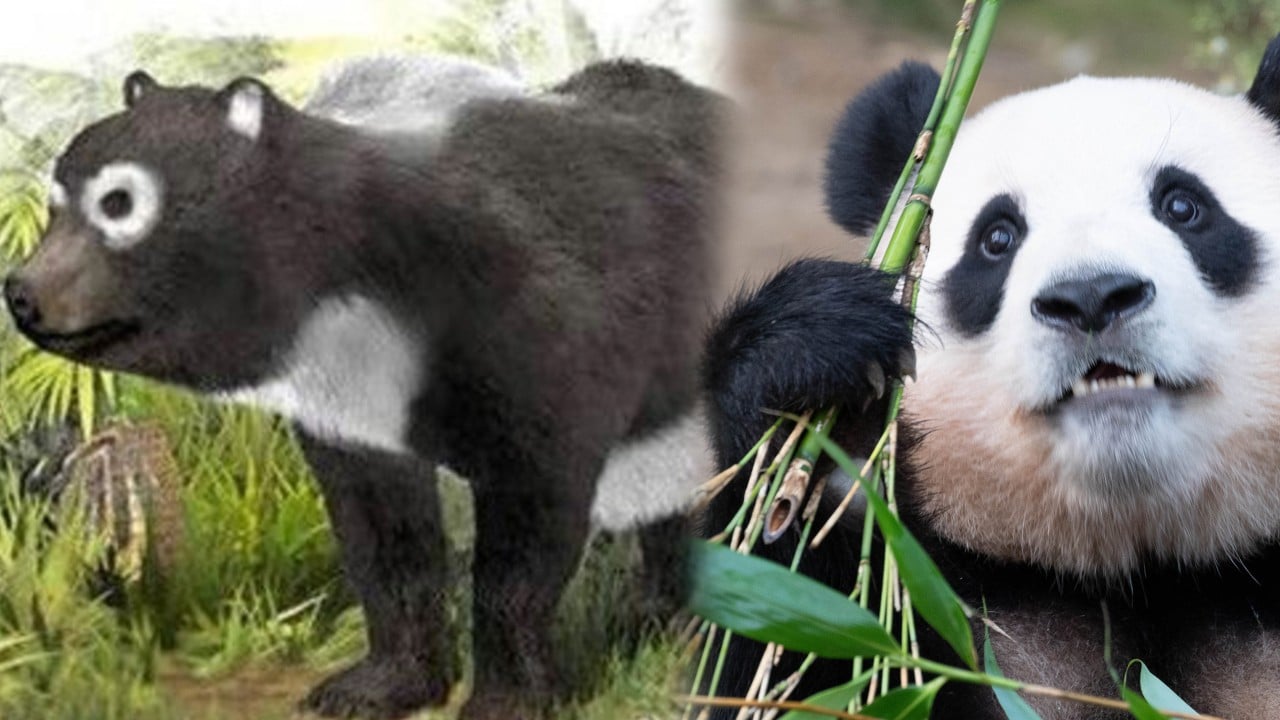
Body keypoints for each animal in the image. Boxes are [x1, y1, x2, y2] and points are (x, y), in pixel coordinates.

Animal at [3, 56, 721, 719]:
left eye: (119, 202)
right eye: (55, 202)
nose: (22, 293)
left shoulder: (541, 331)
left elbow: (528, 516)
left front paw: (508, 698)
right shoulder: (351, 389)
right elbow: (382, 530)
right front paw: (375, 685)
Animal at [701, 34, 1280, 720]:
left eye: (1184, 206)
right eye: (997, 237)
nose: (1091, 298)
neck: (1137, 570)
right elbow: (781, 641)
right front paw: (817, 393)